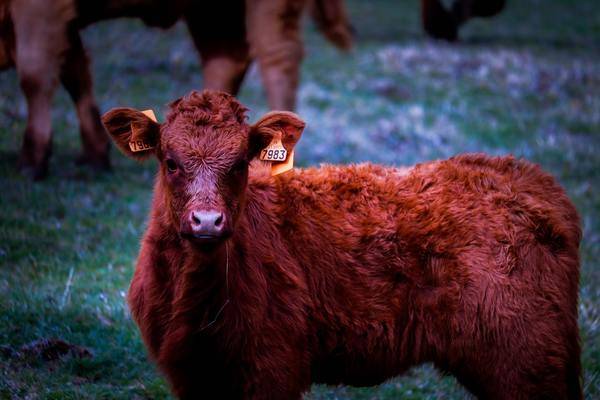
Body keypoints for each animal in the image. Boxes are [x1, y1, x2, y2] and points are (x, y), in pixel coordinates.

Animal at [0, 0, 352, 179]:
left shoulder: (41, 10)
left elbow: (35, 74)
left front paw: (31, 160)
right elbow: (74, 72)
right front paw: (94, 154)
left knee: (278, 57)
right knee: (227, 59)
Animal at [102, 90, 580, 400]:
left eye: (240, 164)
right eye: (170, 162)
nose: (206, 220)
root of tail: (524, 175)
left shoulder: (271, 365)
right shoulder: (191, 373)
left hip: (524, 357)